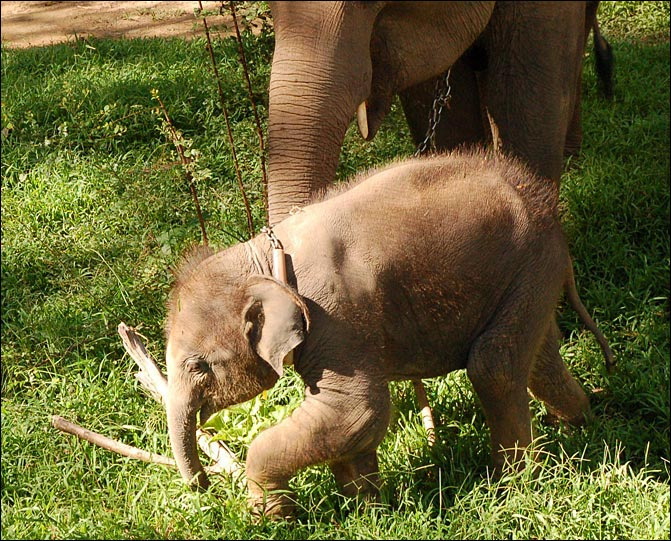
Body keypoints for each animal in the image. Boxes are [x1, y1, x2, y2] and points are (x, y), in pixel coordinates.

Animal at [164, 148, 614, 517]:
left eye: (199, 366)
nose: (205, 488)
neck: (264, 255)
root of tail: (547, 204)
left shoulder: (338, 317)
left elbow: (358, 410)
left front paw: (272, 518)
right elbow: (349, 423)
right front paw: (367, 510)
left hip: (532, 262)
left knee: (493, 366)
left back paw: (513, 485)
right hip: (529, 277)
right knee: (538, 360)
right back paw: (581, 426)